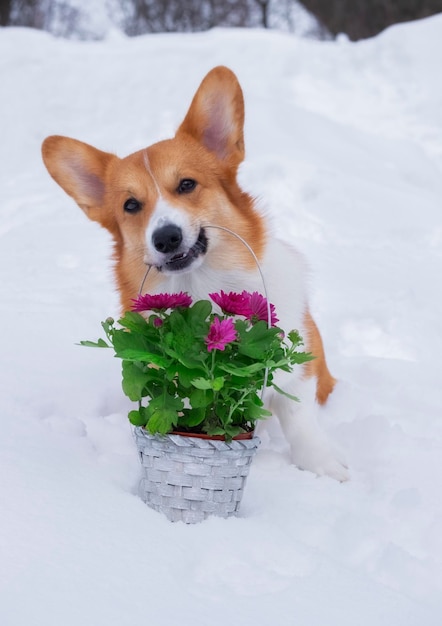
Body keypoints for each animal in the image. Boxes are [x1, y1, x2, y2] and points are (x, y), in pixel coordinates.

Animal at [41, 66, 348, 480]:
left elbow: (299, 414)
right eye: (131, 205)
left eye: (187, 184)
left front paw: (323, 465)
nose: (166, 237)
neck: (203, 287)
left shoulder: (298, 367)